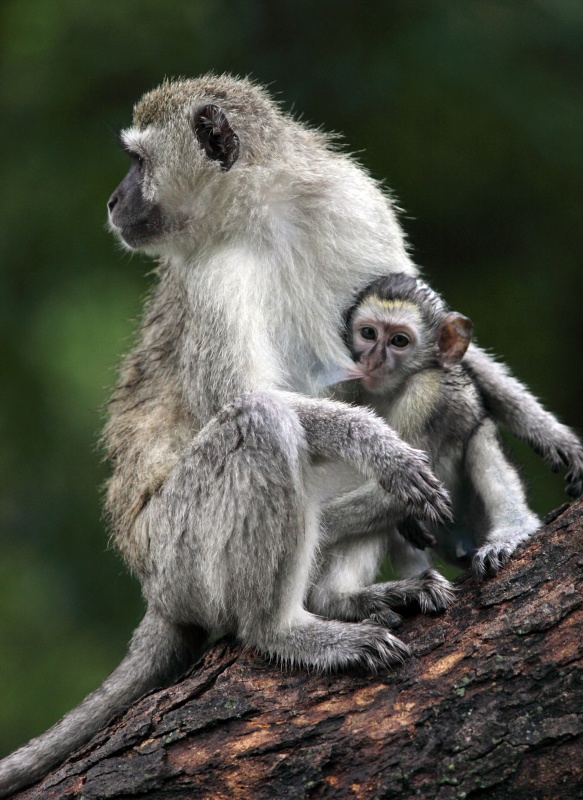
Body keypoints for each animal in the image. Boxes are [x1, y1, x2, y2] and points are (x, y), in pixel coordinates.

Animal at [1, 74, 582, 796]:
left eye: (136, 162)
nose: (113, 201)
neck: (262, 210)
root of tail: (156, 591)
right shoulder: (212, 275)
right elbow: (246, 399)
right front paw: (377, 445)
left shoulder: (351, 202)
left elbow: (448, 347)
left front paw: (547, 430)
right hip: (183, 554)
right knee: (262, 427)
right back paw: (287, 628)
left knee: (448, 409)